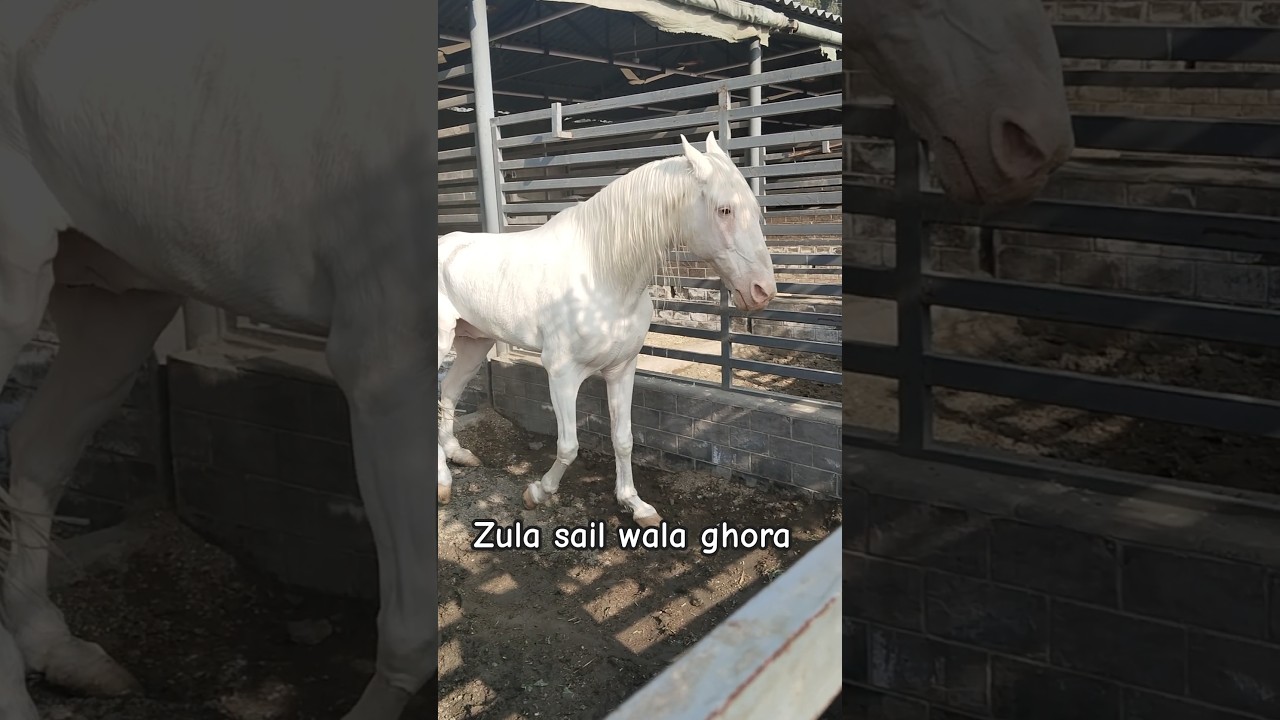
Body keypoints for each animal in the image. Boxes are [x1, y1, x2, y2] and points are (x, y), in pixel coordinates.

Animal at [437, 132, 775, 527]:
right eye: (725, 210)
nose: (762, 291)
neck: (601, 274)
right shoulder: (562, 375)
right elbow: (568, 446)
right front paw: (537, 492)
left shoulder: (621, 369)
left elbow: (623, 438)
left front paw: (635, 505)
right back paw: (443, 481)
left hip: (473, 344)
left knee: (448, 394)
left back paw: (457, 456)